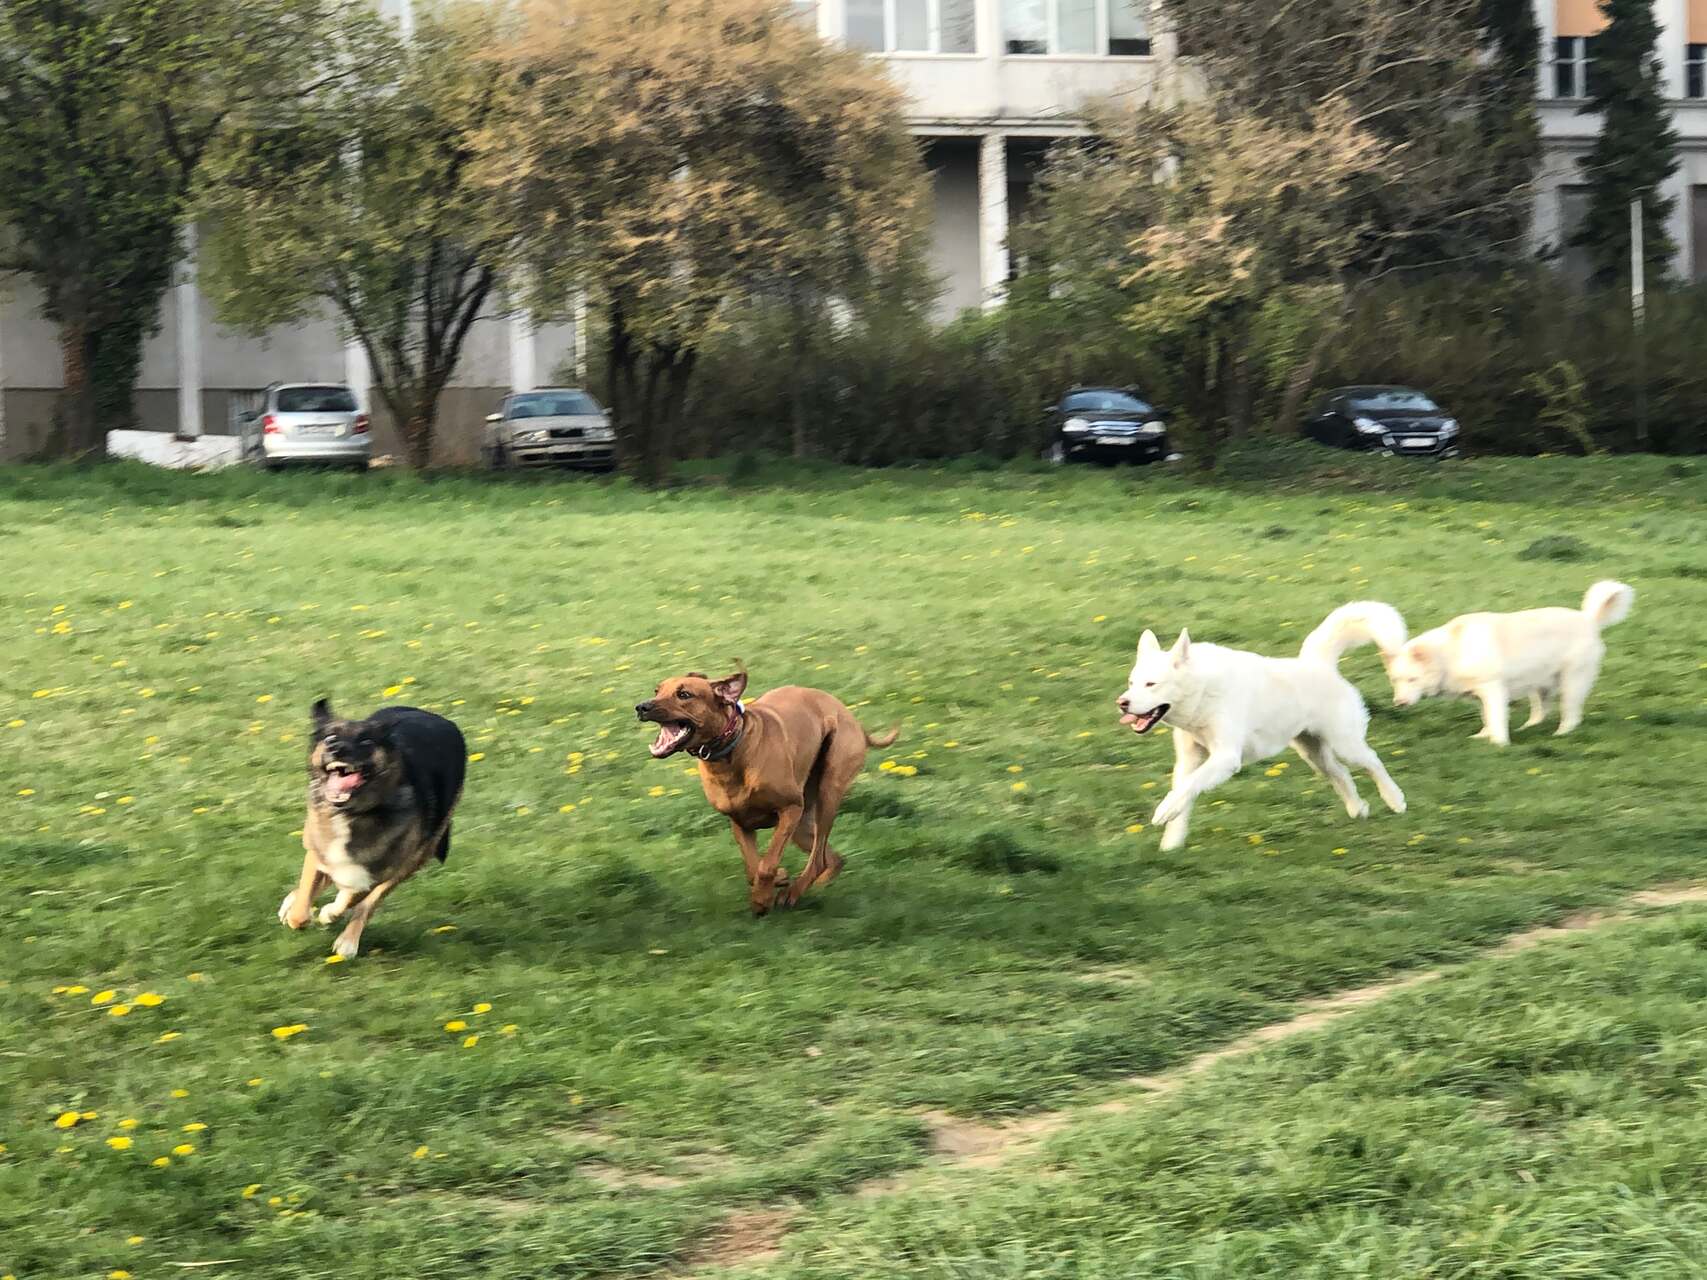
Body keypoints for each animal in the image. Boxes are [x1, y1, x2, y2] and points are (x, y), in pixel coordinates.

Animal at [278, 696, 467, 955]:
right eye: (330, 738)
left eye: (366, 741)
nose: (337, 749)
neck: (351, 813)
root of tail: (438, 717)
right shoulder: (318, 852)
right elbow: (303, 905)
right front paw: (296, 909)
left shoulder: (379, 871)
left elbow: (353, 897)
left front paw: (330, 913)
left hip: (414, 859)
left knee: (366, 904)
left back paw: (348, 941)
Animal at [638, 675, 901, 914]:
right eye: (657, 690)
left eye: (684, 694)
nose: (641, 707)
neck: (730, 753)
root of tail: (851, 717)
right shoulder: (739, 822)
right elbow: (753, 868)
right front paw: (776, 880)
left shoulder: (790, 808)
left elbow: (766, 864)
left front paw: (762, 900)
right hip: (802, 824)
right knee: (833, 858)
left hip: (828, 791)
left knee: (818, 859)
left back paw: (793, 893)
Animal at [1112, 607, 1406, 856]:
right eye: (1131, 682)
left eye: (1151, 684)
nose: (1121, 703)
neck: (1202, 692)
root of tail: (1320, 664)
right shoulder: (1188, 759)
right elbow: (1184, 792)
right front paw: (1171, 842)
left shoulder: (1226, 757)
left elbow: (1189, 786)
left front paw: (1164, 811)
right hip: (1313, 753)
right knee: (1342, 774)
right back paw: (1358, 809)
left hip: (1345, 744)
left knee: (1373, 762)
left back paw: (1395, 800)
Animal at [1379, 576, 1631, 747]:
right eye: (1395, 680)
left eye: (1413, 679)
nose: (1399, 703)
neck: (1452, 652)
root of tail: (1588, 619)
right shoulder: (1480, 694)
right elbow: (1486, 717)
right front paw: (1482, 736)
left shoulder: (1493, 690)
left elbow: (1496, 718)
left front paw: (1499, 743)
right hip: (1539, 686)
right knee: (1541, 712)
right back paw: (1529, 727)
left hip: (1572, 683)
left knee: (1571, 714)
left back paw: (1561, 733)